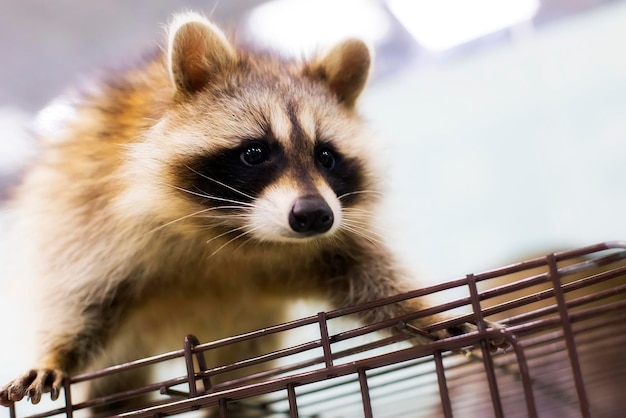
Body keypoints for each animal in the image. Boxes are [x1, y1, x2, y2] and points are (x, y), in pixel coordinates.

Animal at [0, 12, 504, 414]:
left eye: (326, 156)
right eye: (255, 153)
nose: (314, 216)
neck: (239, 232)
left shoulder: (334, 236)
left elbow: (373, 283)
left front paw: (429, 315)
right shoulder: (90, 212)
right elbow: (81, 298)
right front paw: (56, 355)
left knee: (238, 382)